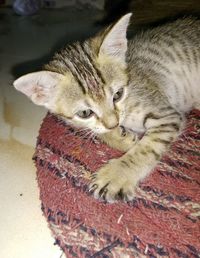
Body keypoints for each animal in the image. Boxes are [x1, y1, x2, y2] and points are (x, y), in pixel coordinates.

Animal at [13, 14, 200, 203]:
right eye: (85, 113)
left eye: (117, 95)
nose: (114, 124)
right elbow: (99, 131)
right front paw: (121, 138)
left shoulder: (168, 115)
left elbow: (146, 149)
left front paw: (117, 175)